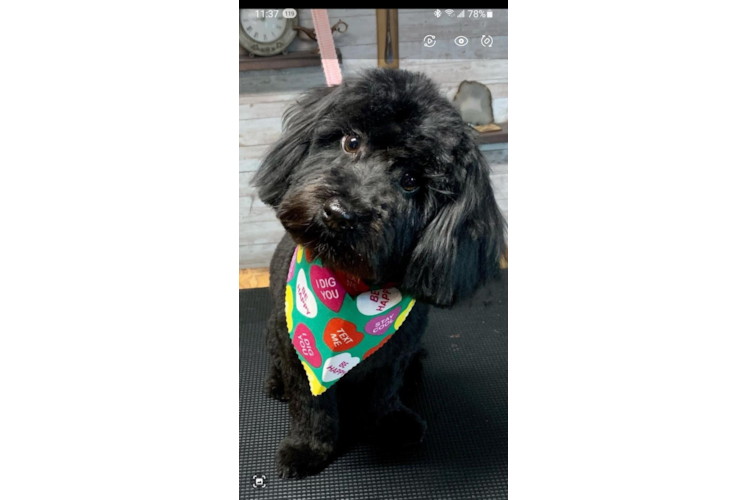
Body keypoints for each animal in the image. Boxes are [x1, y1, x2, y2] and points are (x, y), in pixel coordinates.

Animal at [254, 68, 506, 478]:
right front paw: (307, 448)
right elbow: (310, 404)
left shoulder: (395, 351)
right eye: (351, 141)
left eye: (411, 180)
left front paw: (389, 423)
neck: (351, 284)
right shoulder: (298, 354)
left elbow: (383, 392)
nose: (340, 214)